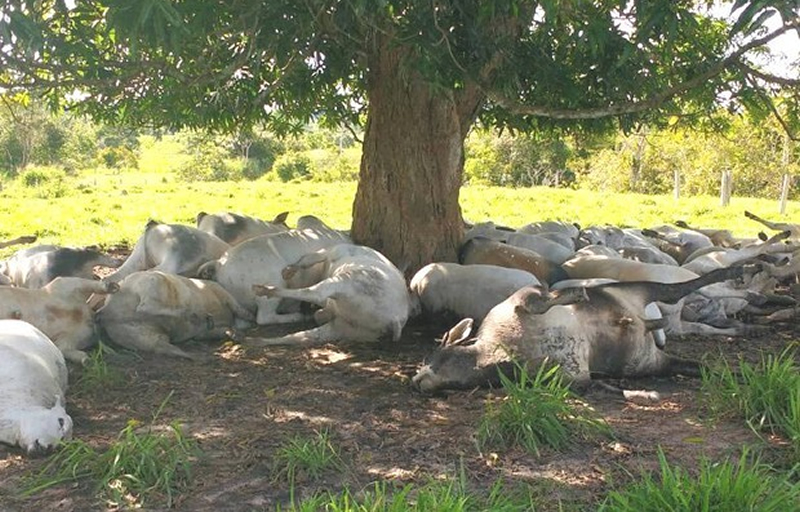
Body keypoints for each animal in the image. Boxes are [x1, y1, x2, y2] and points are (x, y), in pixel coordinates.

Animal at [95, 270, 255, 358]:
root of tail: (108, 310)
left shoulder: (203, 333)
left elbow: (220, 330)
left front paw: (236, 335)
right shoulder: (221, 292)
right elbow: (237, 307)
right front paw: (251, 317)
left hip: (141, 337)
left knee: (166, 347)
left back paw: (202, 356)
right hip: (152, 283)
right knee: (146, 306)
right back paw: (192, 314)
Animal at [230, 244, 406, 348]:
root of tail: (395, 319)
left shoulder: (331, 253)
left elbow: (307, 260)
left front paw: (288, 272)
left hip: (345, 282)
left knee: (314, 294)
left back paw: (264, 289)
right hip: (351, 328)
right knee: (303, 337)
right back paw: (249, 340)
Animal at [412, 266, 752, 398]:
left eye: (430, 357)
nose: (416, 380)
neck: (499, 353)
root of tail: (646, 322)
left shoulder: (520, 299)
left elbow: (539, 300)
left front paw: (574, 294)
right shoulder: (572, 377)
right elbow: (593, 384)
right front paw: (632, 392)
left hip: (636, 288)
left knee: (682, 287)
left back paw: (744, 268)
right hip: (645, 363)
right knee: (693, 364)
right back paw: (738, 375)